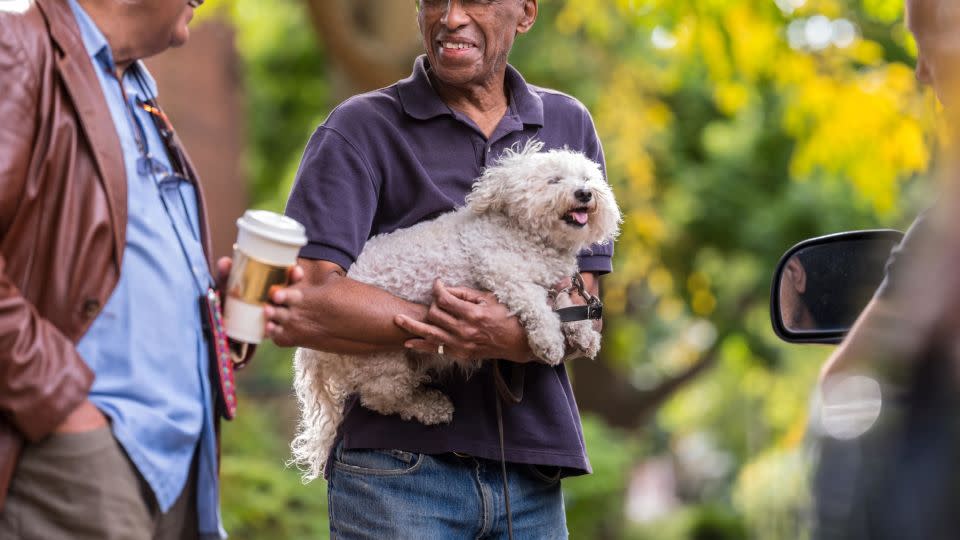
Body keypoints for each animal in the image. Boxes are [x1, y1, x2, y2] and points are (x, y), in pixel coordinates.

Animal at [292, 140, 624, 480]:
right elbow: (536, 307)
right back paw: (431, 407)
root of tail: (312, 352)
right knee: (381, 398)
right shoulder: (502, 272)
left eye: (586, 178)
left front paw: (583, 334)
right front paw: (550, 342)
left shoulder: (555, 283)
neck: (527, 235)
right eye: (554, 180)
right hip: (383, 358)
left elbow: (566, 305)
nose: (584, 193)